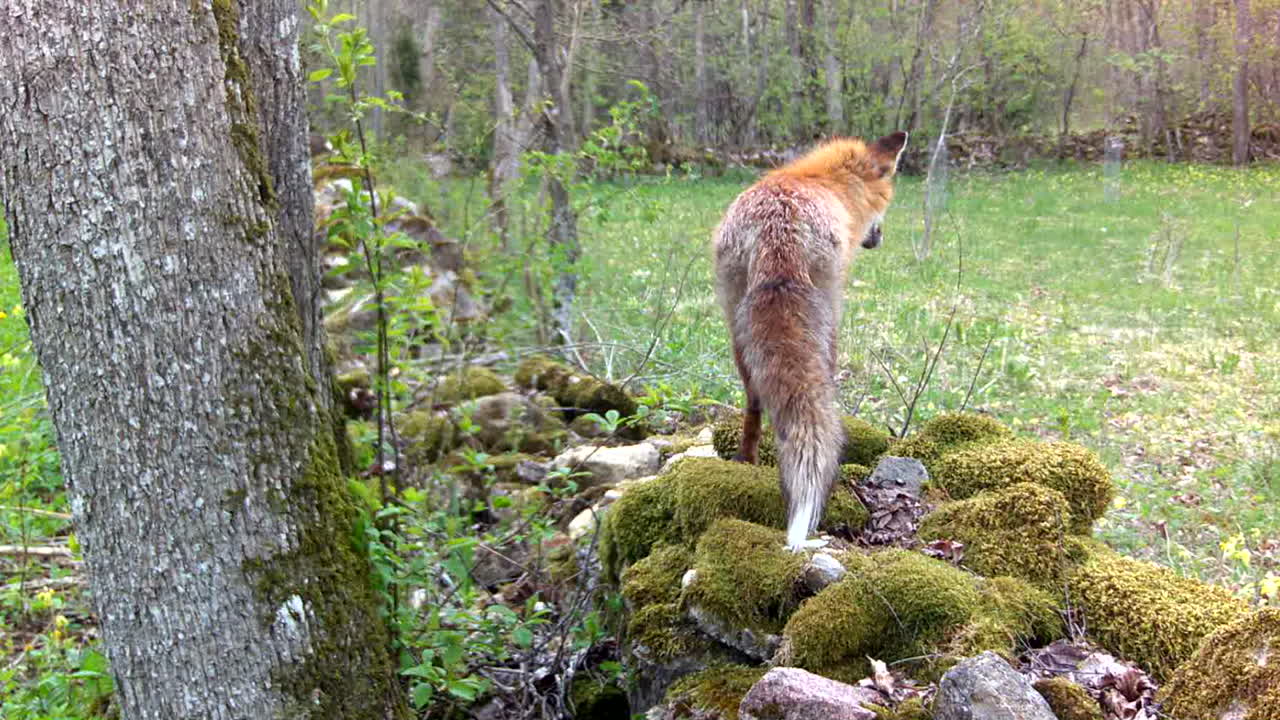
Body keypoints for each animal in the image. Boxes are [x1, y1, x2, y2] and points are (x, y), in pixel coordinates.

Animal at [713, 131, 908, 550]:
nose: (880, 237)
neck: (822, 182)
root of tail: (776, 225)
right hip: (828, 317)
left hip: (735, 325)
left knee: (754, 402)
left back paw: (747, 462)